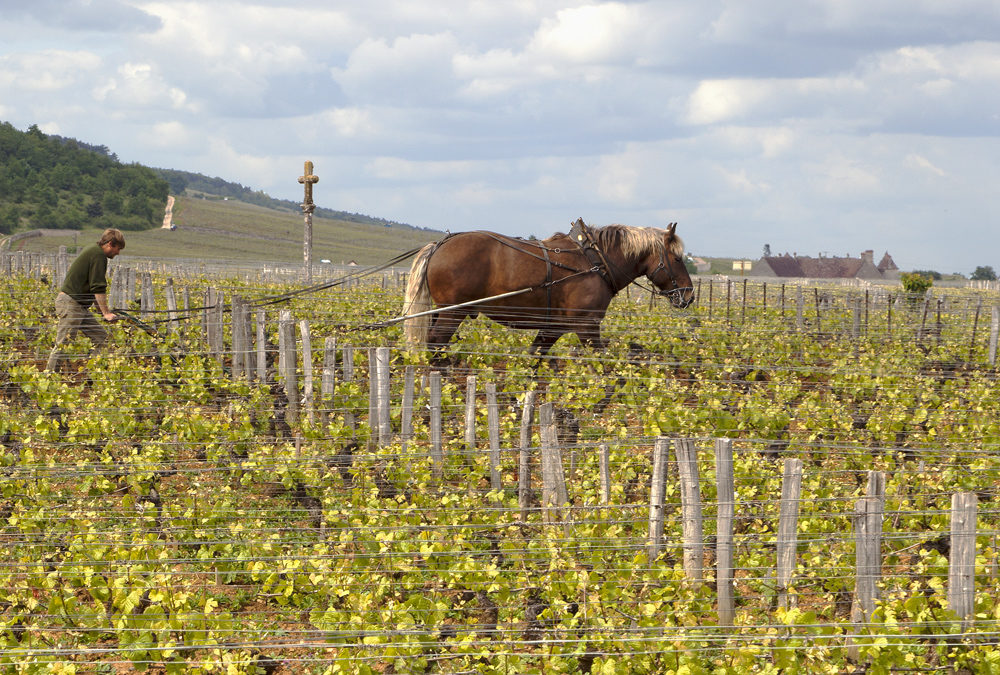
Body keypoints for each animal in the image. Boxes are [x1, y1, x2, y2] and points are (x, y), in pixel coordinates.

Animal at [402, 218, 692, 356]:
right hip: (452, 312)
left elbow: (535, 358)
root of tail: (440, 244)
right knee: (435, 344)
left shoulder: (553, 328)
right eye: (678, 258)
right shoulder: (587, 326)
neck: (596, 261)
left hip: (442, 311)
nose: (688, 295)